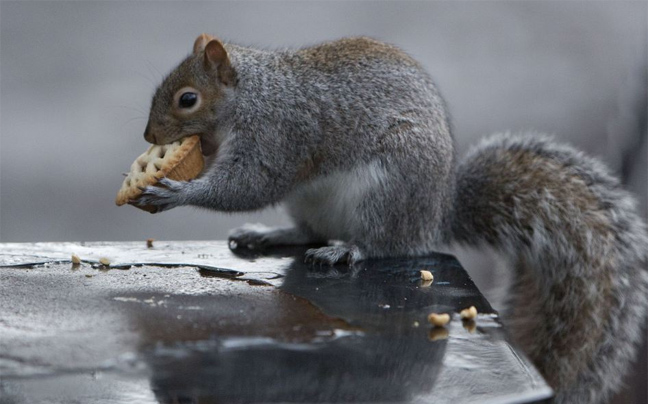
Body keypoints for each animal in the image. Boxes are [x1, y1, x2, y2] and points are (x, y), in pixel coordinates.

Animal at [133, 34, 648, 400]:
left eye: (187, 99)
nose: (149, 136)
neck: (253, 96)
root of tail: (436, 213)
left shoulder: (279, 134)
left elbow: (251, 185)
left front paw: (178, 190)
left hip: (387, 191)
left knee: (381, 243)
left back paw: (346, 249)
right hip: (312, 202)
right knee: (307, 231)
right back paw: (272, 234)